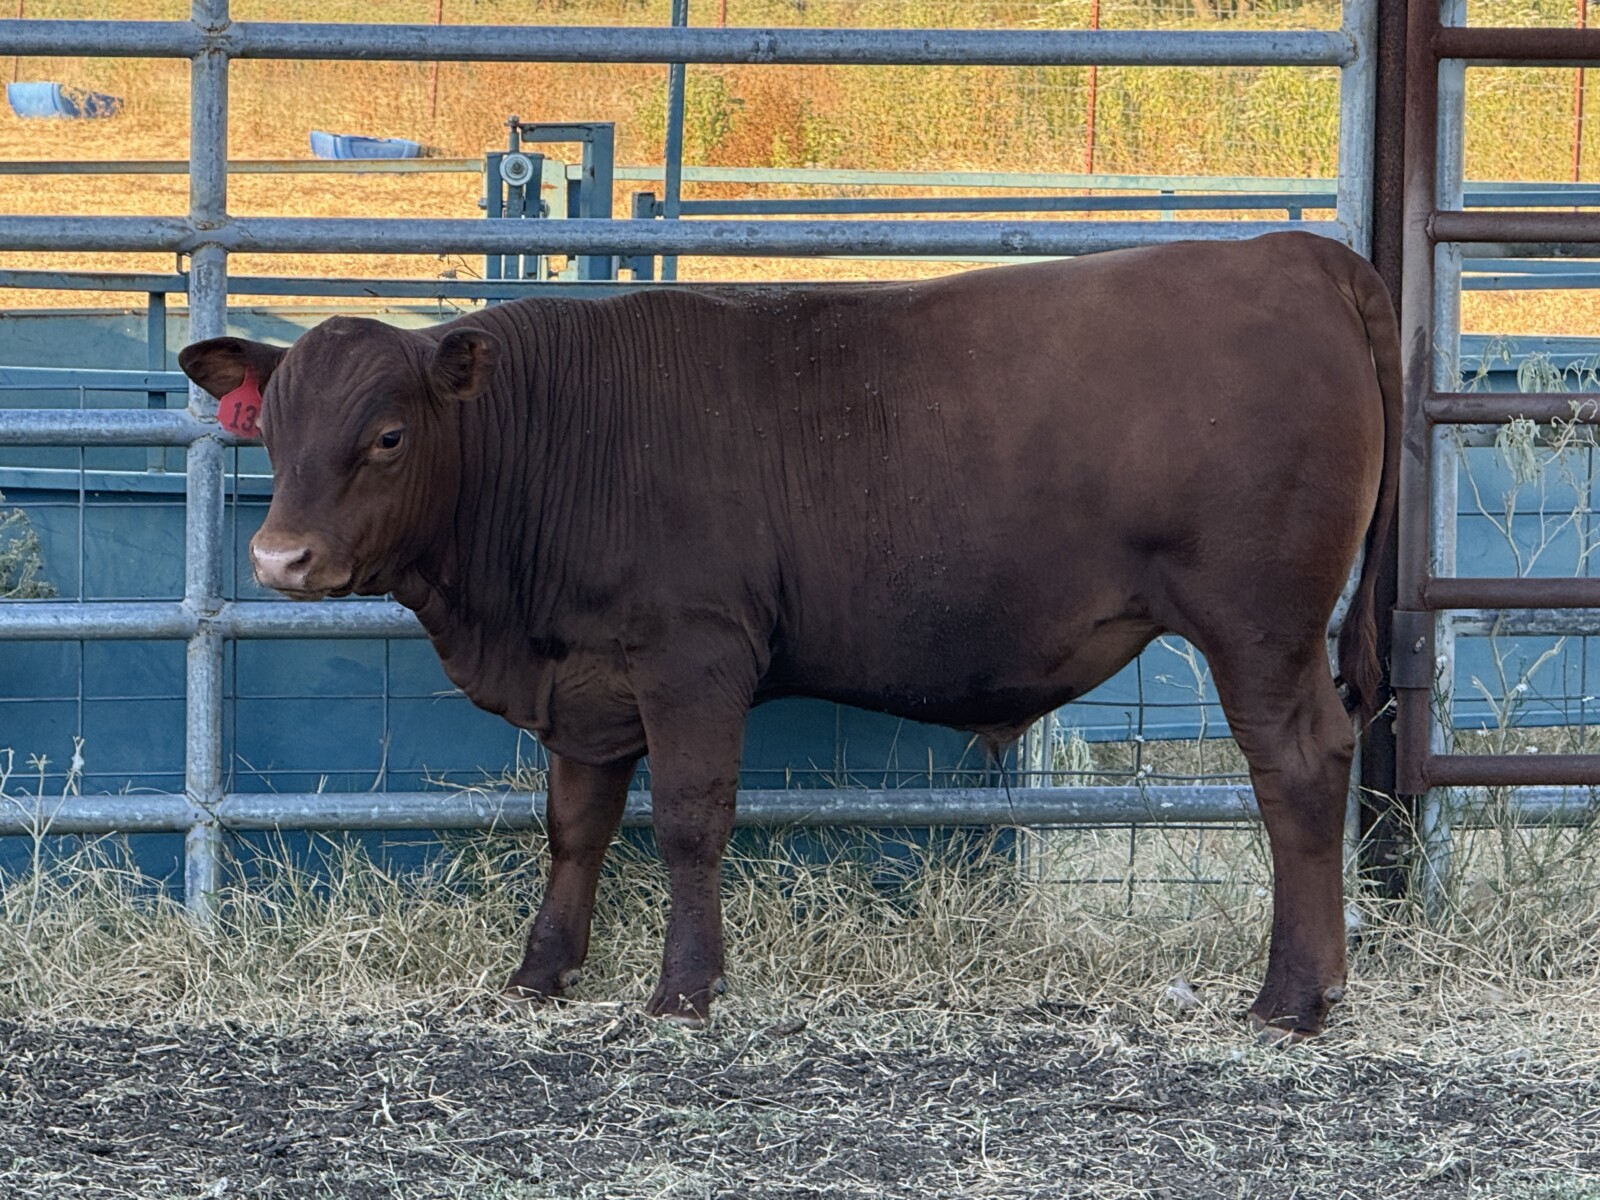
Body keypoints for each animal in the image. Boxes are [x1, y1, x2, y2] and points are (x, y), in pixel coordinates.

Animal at [180, 230, 1398, 1040]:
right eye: (270, 430)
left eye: (387, 435)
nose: (280, 560)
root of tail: (1294, 251)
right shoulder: (587, 677)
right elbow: (575, 829)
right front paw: (541, 973)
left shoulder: (695, 656)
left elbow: (687, 823)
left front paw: (685, 987)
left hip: (1259, 623)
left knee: (1300, 768)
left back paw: (1294, 996)